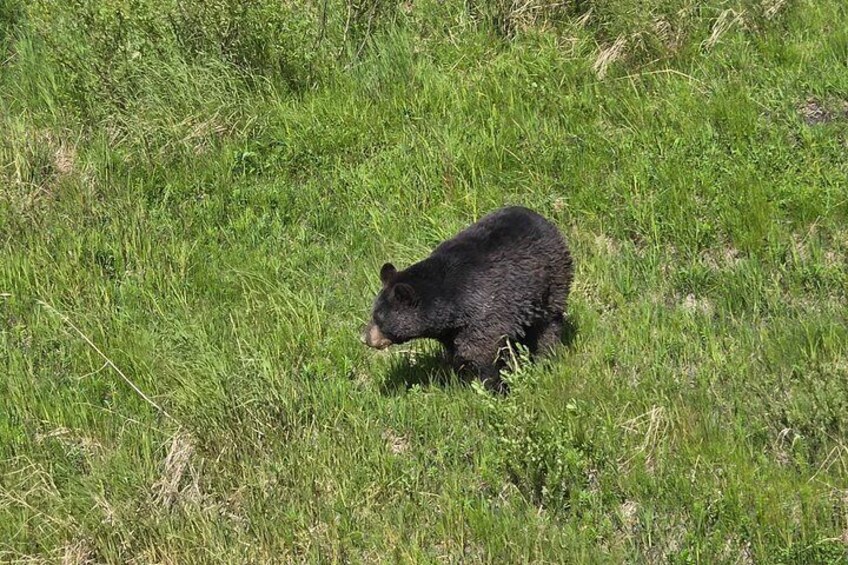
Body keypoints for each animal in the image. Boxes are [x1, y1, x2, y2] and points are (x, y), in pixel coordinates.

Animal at [361, 206, 574, 392]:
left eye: (379, 318)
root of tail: (541, 218)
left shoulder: (483, 312)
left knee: (548, 324)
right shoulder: (451, 330)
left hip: (552, 279)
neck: (450, 303)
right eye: (373, 313)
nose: (364, 337)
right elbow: (457, 352)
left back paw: (545, 356)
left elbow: (481, 350)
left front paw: (494, 386)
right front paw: (461, 377)